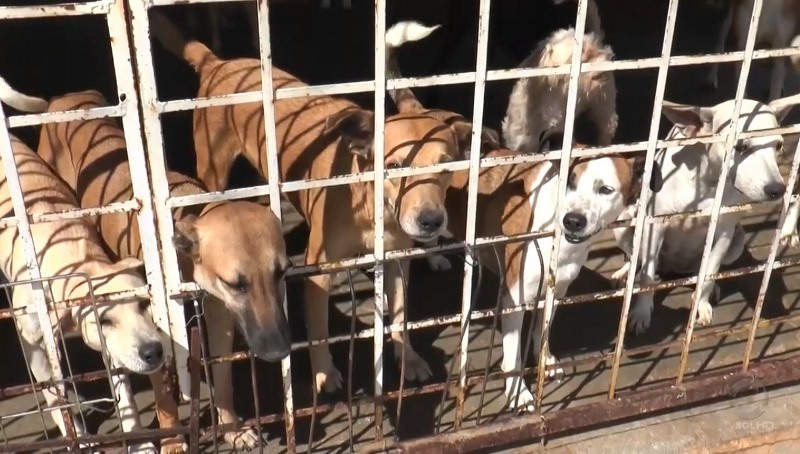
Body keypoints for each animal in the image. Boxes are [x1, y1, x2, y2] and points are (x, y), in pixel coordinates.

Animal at [0, 83, 161, 453]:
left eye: (143, 304)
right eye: (104, 320)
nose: (154, 351)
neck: (77, 260)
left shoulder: (113, 349)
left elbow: (124, 393)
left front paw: (138, 439)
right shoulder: (34, 344)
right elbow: (55, 397)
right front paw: (79, 436)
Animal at [35, 89, 291, 450]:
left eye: (282, 273)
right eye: (236, 284)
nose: (280, 350)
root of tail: (66, 96)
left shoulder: (220, 315)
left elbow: (222, 375)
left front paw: (232, 426)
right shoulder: (151, 325)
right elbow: (163, 392)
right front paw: (171, 440)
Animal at [149, 14, 495, 392]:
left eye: (447, 166)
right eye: (393, 165)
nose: (431, 221)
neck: (371, 210)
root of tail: (219, 62)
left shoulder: (396, 262)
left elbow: (402, 315)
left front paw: (409, 359)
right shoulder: (319, 274)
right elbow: (319, 333)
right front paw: (326, 373)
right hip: (214, 169)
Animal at [611, 96, 797, 336]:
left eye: (778, 145)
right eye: (741, 147)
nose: (778, 189)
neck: (707, 181)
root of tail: (674, 270)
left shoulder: (724, 233)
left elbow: (709, 273)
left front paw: (702, 304)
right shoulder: (656, 227)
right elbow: (647, 276)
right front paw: (641, 312)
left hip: (736, 241)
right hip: (624, 225)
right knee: (638, 260)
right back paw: (625, 273)